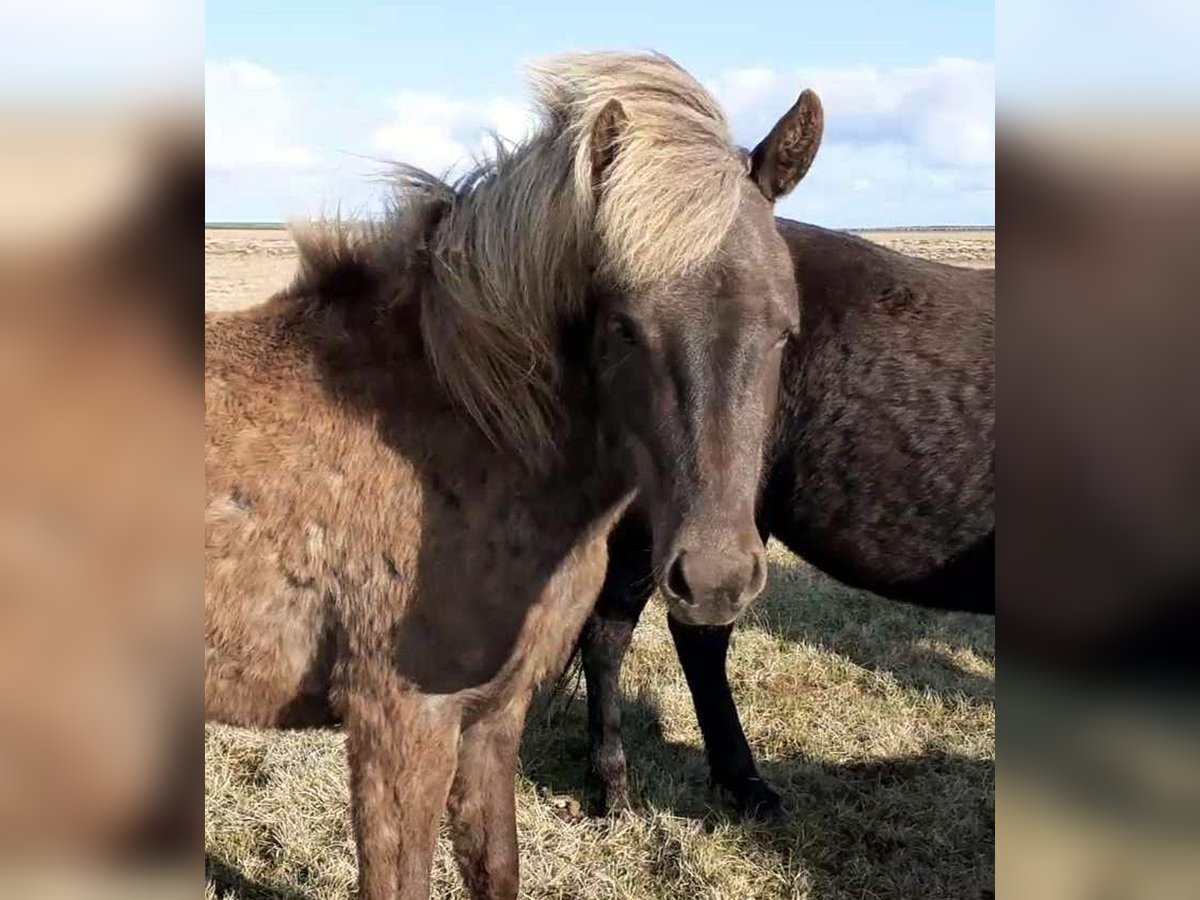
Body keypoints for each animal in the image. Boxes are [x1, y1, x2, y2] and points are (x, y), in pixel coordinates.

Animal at [206, 54, 825, 900]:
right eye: (624, 327)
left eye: (784, 329)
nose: (714, 580)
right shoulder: (400, 724)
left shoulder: (494, 716)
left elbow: (495, 865)